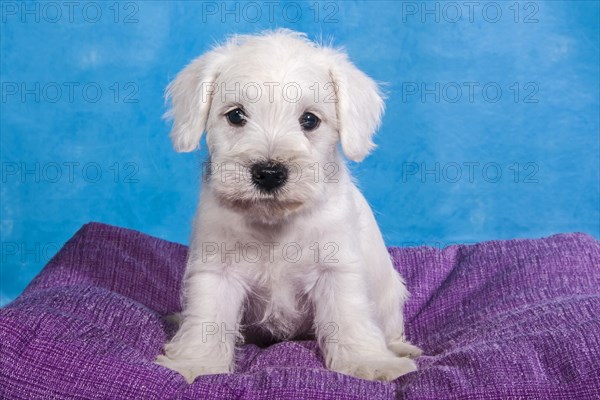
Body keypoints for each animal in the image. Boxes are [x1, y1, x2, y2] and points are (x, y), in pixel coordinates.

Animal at [155, 29, 422, 382]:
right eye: (236, 115)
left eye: (309, 120)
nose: (269, 173)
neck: (274, 222)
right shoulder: (217, 269)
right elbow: (207, 319)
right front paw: (195, 364)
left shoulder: (337, 269)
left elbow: (349, 318)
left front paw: (369, 362)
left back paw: (399, 349)